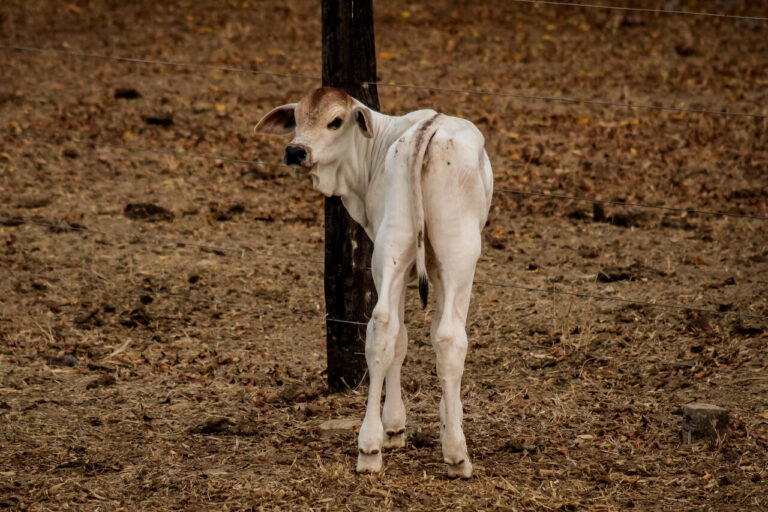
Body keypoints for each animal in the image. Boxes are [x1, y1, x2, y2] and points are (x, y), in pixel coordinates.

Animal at [255, 87, 496, 476]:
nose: (295, 151)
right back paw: (450, 454)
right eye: (298, 118)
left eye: (335, 121)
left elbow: (402, 338)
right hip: (455, 254)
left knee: (384, 326)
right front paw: (434, 423)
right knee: (444, 336)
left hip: (394, 250)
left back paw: (371, 448)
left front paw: (406, 427)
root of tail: (426, 132)